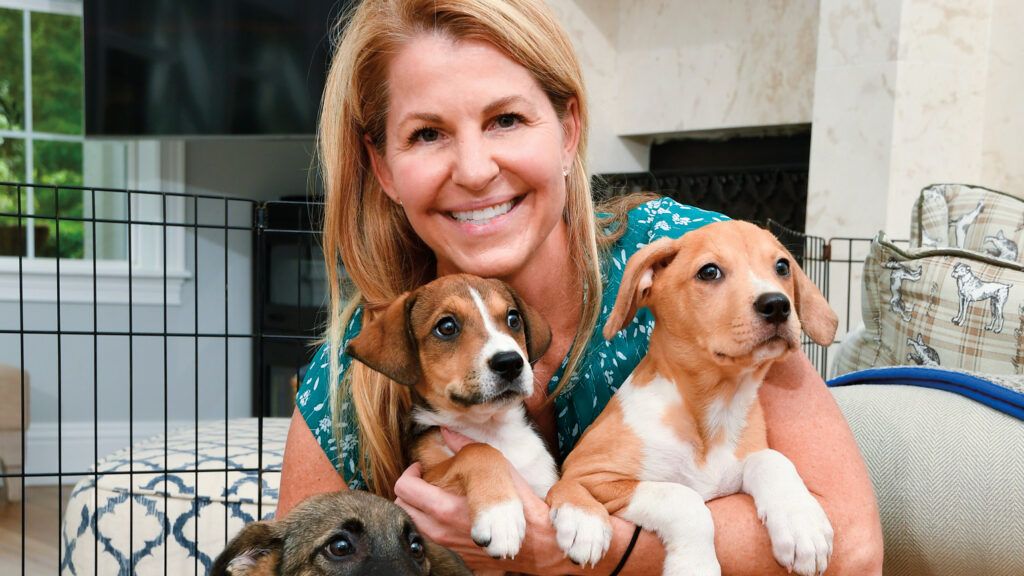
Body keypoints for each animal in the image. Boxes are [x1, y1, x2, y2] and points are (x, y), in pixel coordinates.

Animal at [346, 272, 557, 561]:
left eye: (513, 319)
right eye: (446, 327)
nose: (510, 362)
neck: (490, 427)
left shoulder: (542, 482)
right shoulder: (427, 478)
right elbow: (477, 451)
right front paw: (501, 516)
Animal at [548, 220, 835, 573]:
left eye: (782, 266)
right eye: (709, 272)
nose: (778, 305)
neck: (714, 410)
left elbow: (771, 459)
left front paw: (802, 523)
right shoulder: (591, 473)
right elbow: (684, 498)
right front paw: (694, 565)